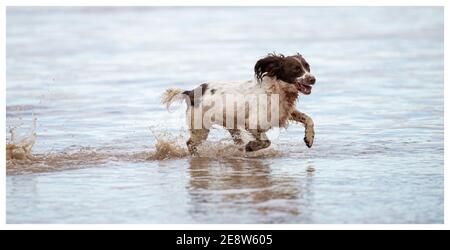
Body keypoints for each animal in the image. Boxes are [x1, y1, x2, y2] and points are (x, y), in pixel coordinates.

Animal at [163, 53, 316, 156]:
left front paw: (309, 138)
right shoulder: (253, 123)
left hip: (231, 126)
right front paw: (251, 147)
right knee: (190, 143)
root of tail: (191, 92)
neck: (276, 90)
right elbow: (266, 142)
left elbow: (309, 119)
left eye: (307, 67)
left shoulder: (285, 112)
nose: (313, 79)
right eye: (296, 69)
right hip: (200, 127)